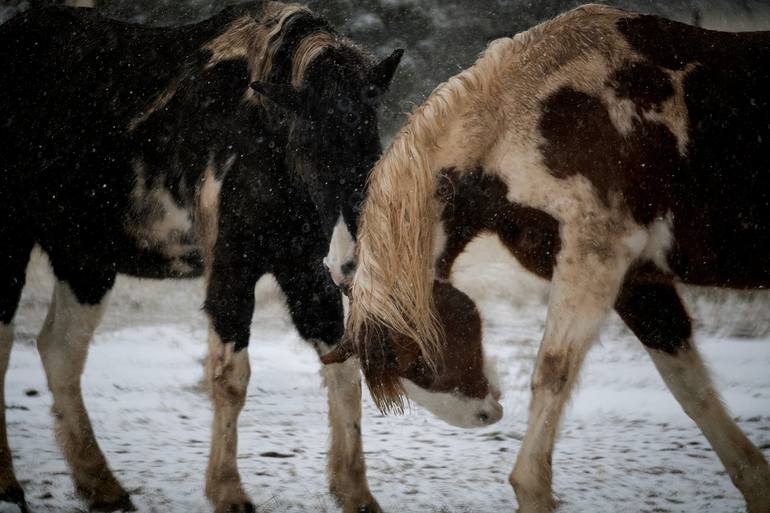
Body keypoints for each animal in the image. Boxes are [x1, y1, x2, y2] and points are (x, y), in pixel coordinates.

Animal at [1, 4, 402, 512]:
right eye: (308, 145)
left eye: (370, 140)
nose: (349, 262)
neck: (259, 134)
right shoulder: (232, 268)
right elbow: (231, 379)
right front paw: (228, 491)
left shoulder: (304, 272)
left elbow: (344, 370)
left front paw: (355, 492)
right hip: (13, 243)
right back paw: (11, 483)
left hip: (85, 261)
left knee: (60, 352)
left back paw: (103, 486)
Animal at [324, 4, 768, 512]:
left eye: (417, 360)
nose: (485, 415)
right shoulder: (638, 282)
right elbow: (690, 389)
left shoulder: (595, 256)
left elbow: (553, 370)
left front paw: (532, 488)